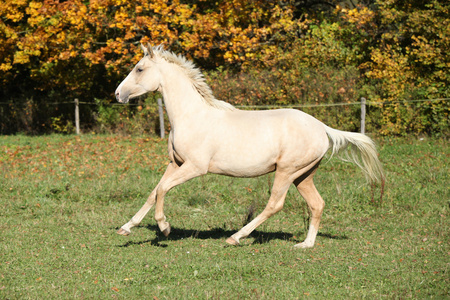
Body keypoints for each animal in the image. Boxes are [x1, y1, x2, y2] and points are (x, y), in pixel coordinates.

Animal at [115, 43, 384, 247]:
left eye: (139, 68)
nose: (118, 94)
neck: (192, 116)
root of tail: (322, 127)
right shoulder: (175, 164)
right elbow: (154, 192)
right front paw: (126, 227)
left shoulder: (195, 167)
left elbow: (162, 190)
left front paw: (165, 227)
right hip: (303, 175)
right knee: (317, 204)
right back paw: (305, 245)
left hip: (286, 172)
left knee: (275, 204)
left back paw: (236, 237)